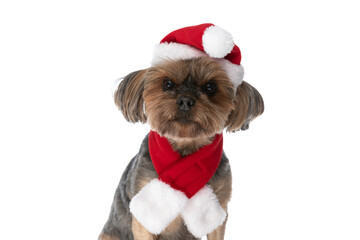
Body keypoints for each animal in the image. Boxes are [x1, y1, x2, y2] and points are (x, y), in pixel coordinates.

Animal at [98, 23, 264, 240]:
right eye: (167, 83)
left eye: (211, 87)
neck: (185, 145)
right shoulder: (144, 218)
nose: (185, 100)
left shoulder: (220, 210)